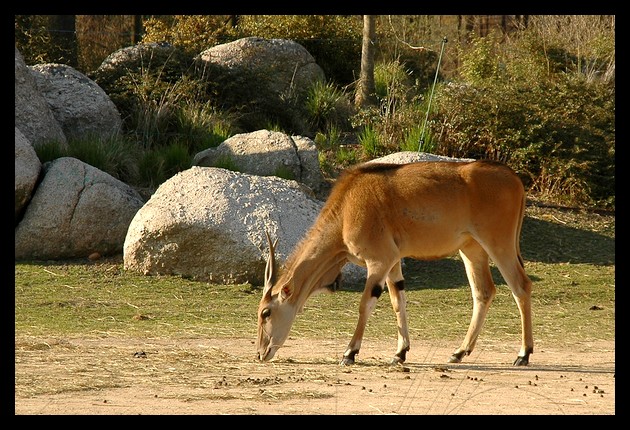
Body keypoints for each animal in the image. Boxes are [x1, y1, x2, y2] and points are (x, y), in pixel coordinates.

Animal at [256, 158, 532, 366]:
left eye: (265, 312)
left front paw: (349, 353)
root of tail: (515, 180)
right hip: (472, 250)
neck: (346, 207)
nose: (260, 353)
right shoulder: (393, 262)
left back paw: (523, 354)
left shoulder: (379, 260)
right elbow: (398, 301)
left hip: (499, 244)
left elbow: (365, 305)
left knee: (521, 286)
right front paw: (400, 353)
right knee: (483, 292)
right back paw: (459, 353)